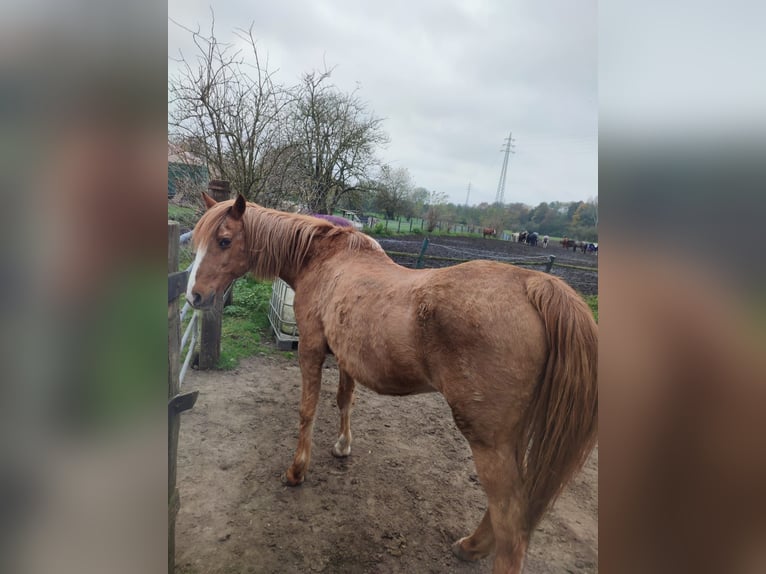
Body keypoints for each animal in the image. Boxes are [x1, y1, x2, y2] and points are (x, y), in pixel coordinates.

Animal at [186, 195, 600, 574]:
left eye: (224, 240)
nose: (194, 296)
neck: (322, 259)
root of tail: (536, 284)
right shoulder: (346, 355)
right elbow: (344, 400)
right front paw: (342, 446)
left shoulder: (312, 348)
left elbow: (308, 409)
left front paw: (296, 471)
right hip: (512, 440)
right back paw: (471, 546)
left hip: (489, 442)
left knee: (511, 525)